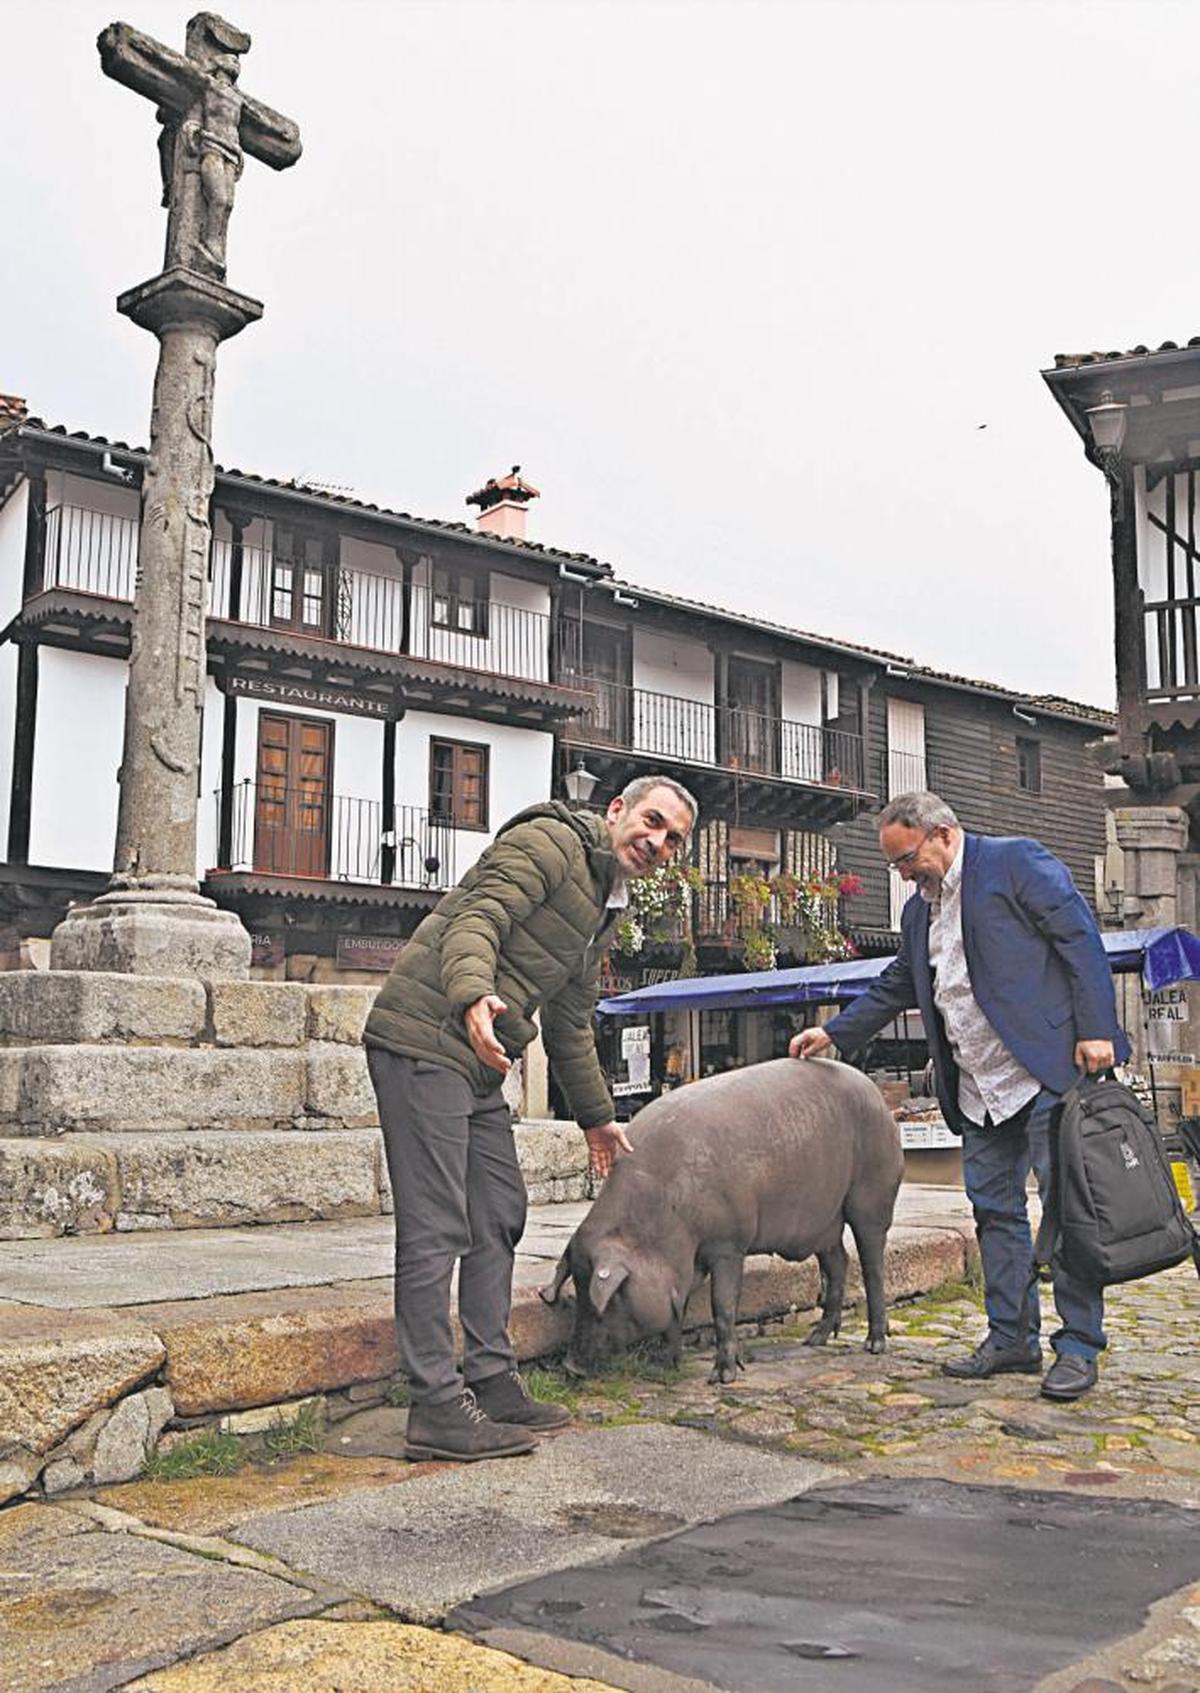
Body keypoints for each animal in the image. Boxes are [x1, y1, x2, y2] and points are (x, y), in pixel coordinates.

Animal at [541, 1056, 900, 1388]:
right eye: (576, 1292)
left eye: (605, 1299)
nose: (570, 1367)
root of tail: (876, 1094)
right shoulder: (685, 1263)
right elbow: (678, 1310)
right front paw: (665, 1365)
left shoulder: (729, 1244)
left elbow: (722, 1307)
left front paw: (723, 1377)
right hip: (825, 1223)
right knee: (838, 1262)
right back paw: (814, 1339)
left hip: (872, 1200)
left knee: (872, 1266)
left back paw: (874, 1344)